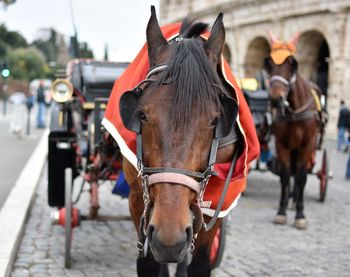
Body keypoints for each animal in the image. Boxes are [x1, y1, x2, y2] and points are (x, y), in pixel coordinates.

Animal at [117, 7, 241, 276]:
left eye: (215, 120)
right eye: (142, 114)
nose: (169, 239)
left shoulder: (216, 204)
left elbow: (200, 263)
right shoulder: (138, 198)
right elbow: (149, 261)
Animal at [264, 33, 322, 229]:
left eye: (292, 64)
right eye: (269, 64)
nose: (276, 100)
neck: (295, 111)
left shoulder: (306, 146)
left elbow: (302, 177)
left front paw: (300, 214)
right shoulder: (282, 145)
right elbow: (284, 176)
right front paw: (281, 211)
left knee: (298, 174)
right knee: (291, 173)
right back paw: (290, 199)